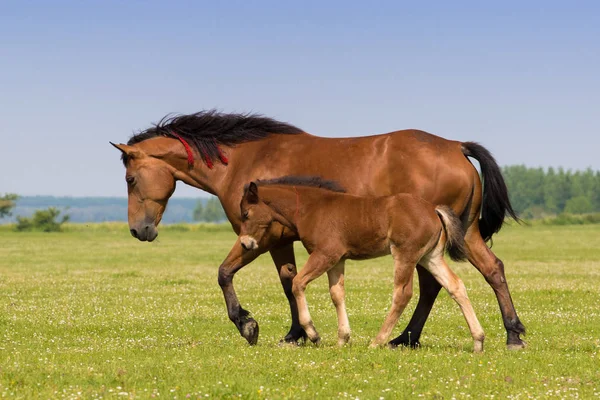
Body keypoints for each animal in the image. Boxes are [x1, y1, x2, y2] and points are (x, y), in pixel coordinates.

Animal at [237, 177, 486, 350]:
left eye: (246, 213)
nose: (246, 243)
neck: (310, 208)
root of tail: (433, 209)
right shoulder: (337, 260)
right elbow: (337, 294)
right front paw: (342, 339)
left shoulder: (325, 254)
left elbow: (298, 282)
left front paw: (314, 334)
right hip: (430, 257)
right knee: (456, 286)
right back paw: (478, 341)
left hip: (405, 254)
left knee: (402, 293)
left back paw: (378, 341)